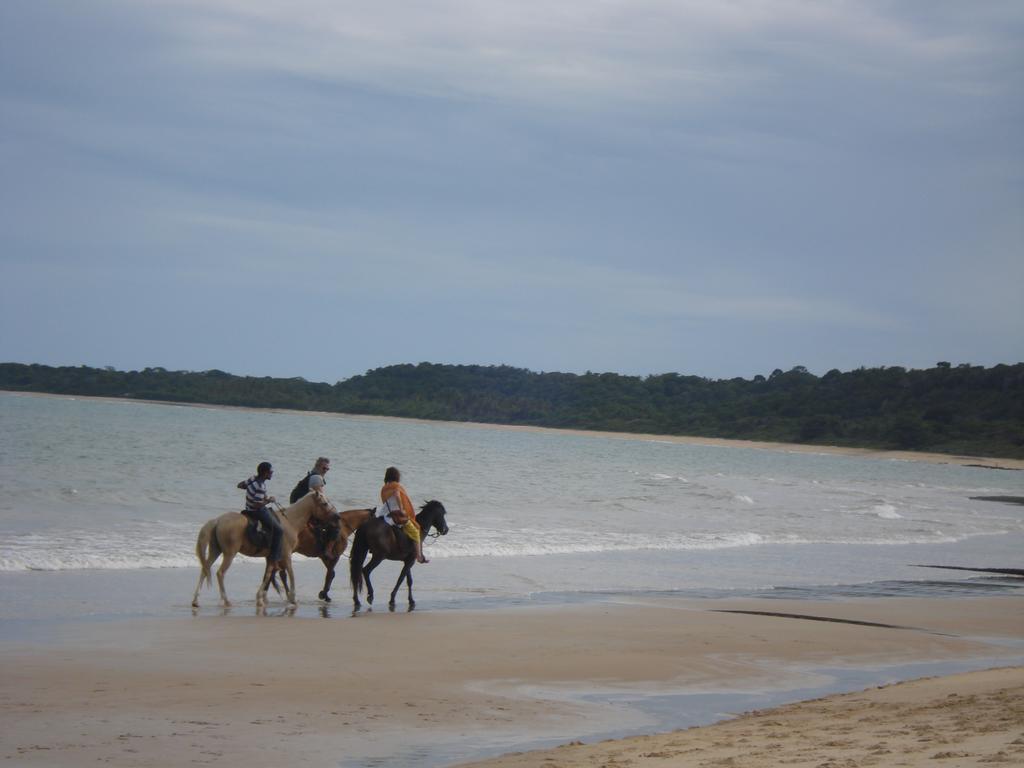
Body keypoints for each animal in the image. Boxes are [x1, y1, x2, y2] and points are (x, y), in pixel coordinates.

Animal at [188, 489, 339, 610]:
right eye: (324, 503)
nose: (337, 516)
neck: (290, 521)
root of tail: (218, 520)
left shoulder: (271, 556)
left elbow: (268, 574)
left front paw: (260, 598)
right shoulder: (286, 555)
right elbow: (290, 573)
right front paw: (293, 598)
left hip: (215, 550)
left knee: (205, 569)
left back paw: (196, 601)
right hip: (229, 553)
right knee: (220, 573)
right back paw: (226, 601)